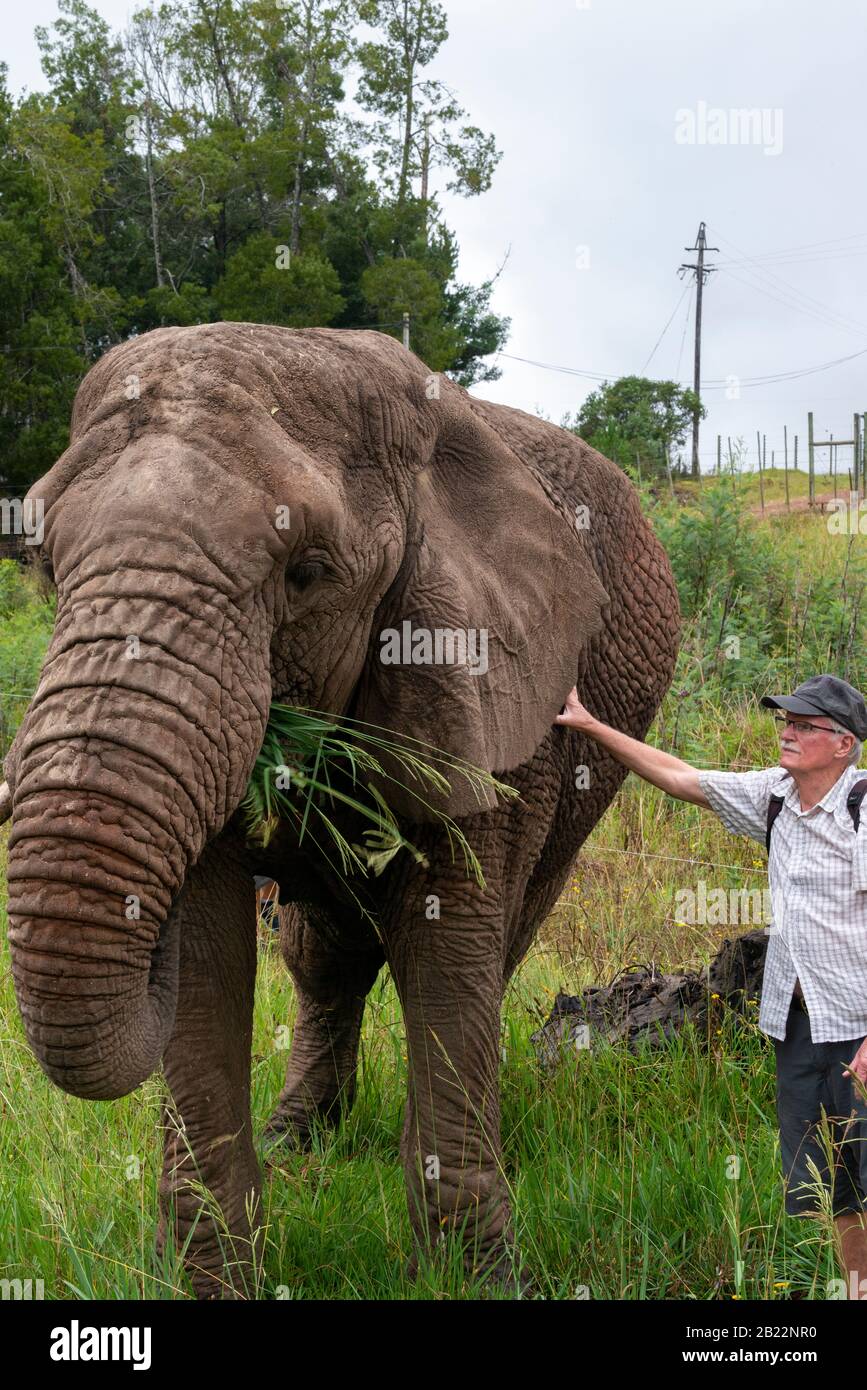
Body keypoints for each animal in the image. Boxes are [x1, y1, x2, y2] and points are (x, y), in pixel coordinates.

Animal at [1, 319, 678, 1295]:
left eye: (308, 572)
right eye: (46, 565)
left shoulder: (493, 686)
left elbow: (450, 946)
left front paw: (475, 1279)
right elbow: (207, 949)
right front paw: (208, 1280)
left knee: (499, 939)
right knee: (321, 957)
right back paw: (298, 1140)